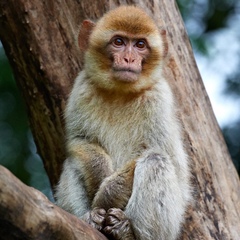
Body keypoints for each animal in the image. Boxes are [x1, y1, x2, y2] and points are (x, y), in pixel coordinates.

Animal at [54, 5, 191, 240]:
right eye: (118, 42)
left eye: (140, 45)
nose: (128, 59)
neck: (120, 92)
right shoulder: (81, 89)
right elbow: (79, 141)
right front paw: (99, 175)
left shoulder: (158, 99)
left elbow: (159, 151)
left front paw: (108, 194)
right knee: (74, 161)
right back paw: (91, 220)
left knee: (156, 160)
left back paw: (126, 231)